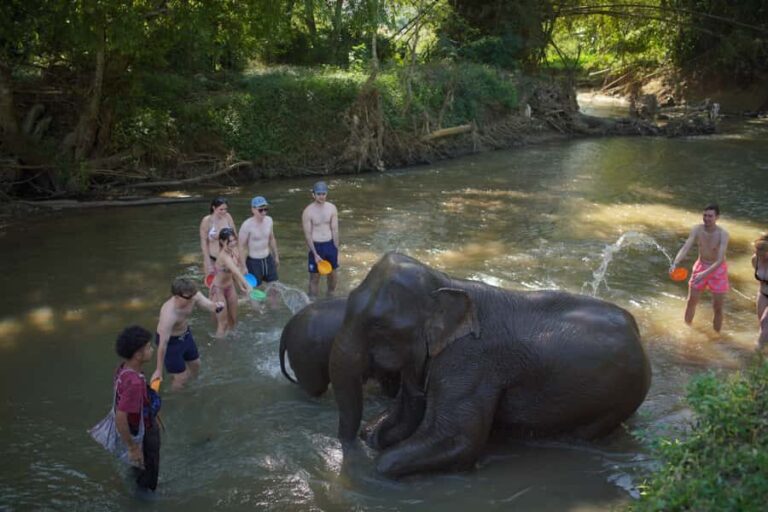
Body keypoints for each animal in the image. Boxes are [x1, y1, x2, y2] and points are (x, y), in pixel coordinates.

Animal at [329, 252, 652, 478]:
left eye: (378, 325)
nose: (346, 452)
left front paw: (375, 465)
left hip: (615, 399)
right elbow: (409, 411)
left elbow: (457, 440)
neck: (447, 282)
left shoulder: (470, 363)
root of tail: (636, 329)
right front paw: (373, 435)